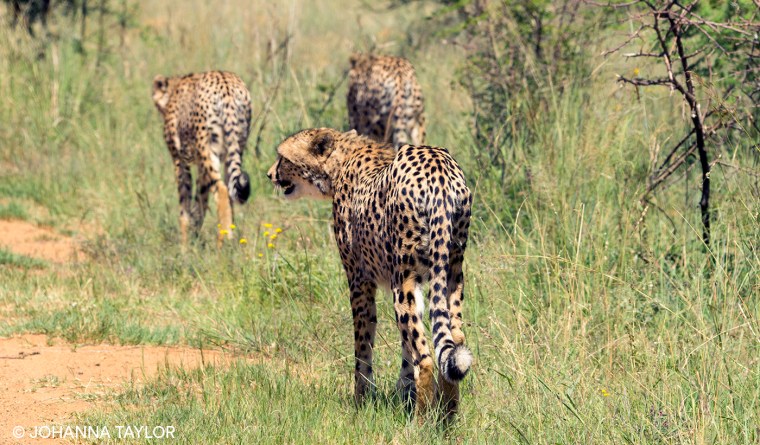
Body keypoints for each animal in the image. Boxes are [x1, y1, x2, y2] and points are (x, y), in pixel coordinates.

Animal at [152, 71, 252, 245]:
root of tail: (227, 86)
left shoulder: (180, 161)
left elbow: (184, 205)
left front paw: (184, 246)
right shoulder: (200, 166)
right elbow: (200, 203)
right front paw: (194, 235)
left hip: (208, 150)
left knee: (222, 191)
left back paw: (224, 241)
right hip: (235, 148)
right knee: (230, 190)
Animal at [267, 128, 473, 421]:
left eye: (283, 158)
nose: (269, 174)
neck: (343, 157)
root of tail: (438, 167)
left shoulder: (360, 281)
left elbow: (363, 347)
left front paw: (361, 399)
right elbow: (406, 346)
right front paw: (404, 390)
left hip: (402, 283)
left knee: (426, 358)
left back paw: (420, 422)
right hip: (451, 275)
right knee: (454, 342)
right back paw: (448, 417)